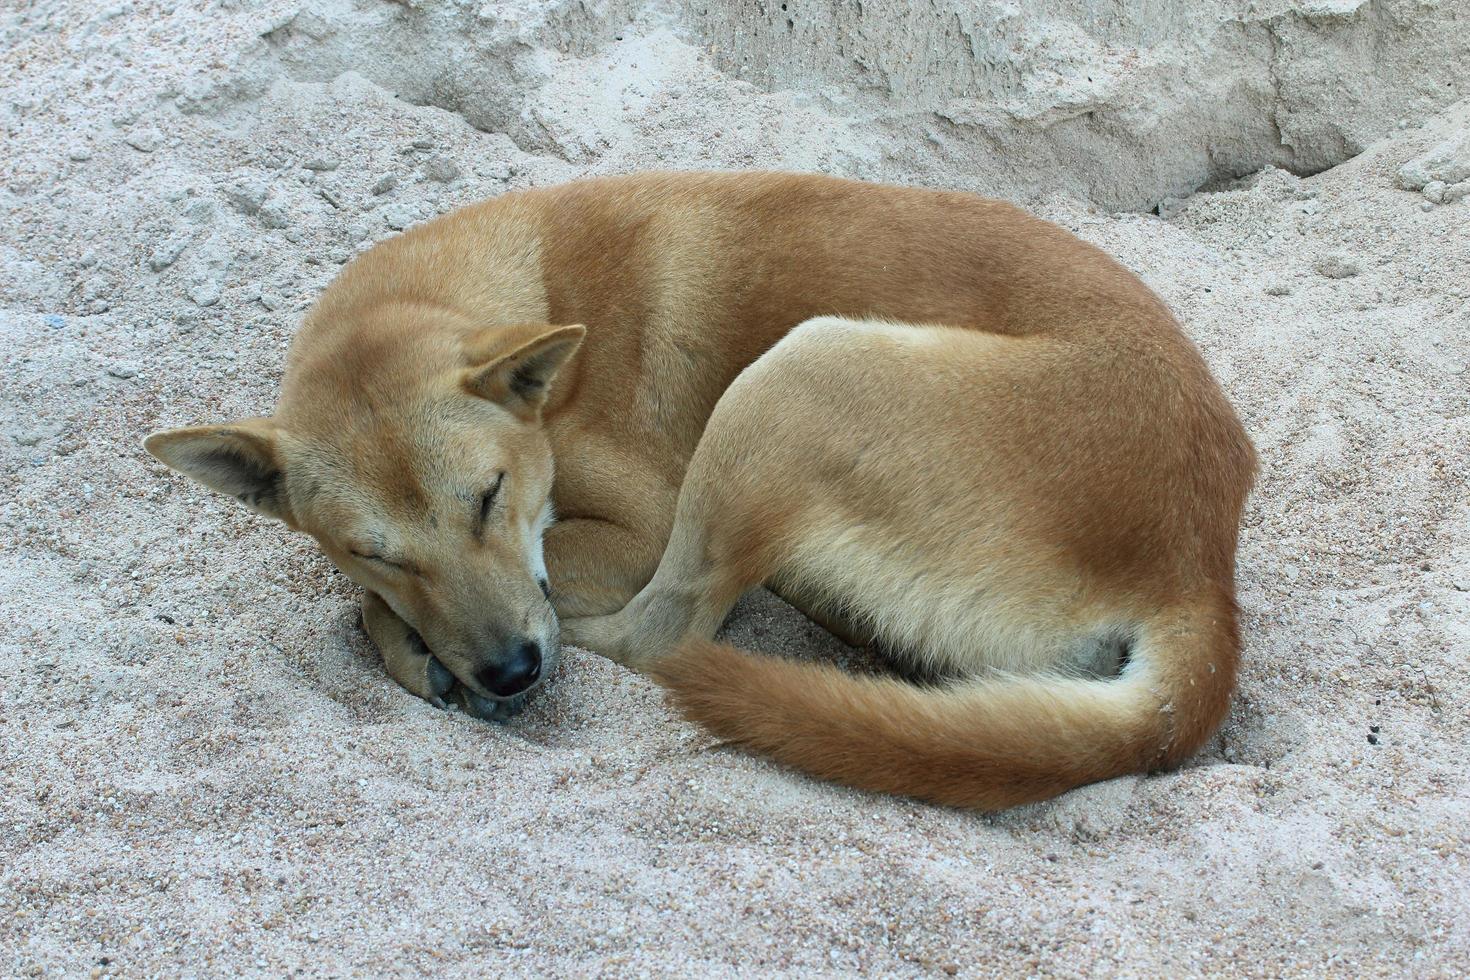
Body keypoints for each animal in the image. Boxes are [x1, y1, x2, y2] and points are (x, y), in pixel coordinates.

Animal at [146, 172, 1252, 811]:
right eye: (374, 545)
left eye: (490, 496)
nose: (509, 671)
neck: (534, 287)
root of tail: (1201, 571)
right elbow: (372, 600)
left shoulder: (635, 524)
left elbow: (402, 607)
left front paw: (416, 649)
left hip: (797, 374)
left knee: (664, 637)